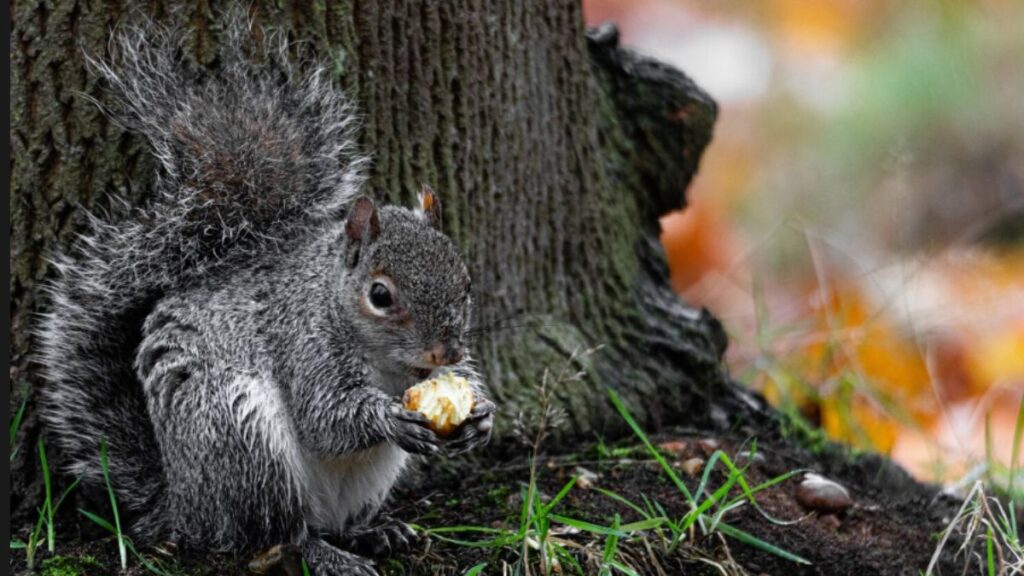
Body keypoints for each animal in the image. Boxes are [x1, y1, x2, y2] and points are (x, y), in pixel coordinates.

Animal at [37, 15, 495, 576]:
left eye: (466, 283)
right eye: (380, 295)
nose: (446, 353)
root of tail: (185, 506)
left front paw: (481, 416)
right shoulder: (304, 343)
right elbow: (325, 417)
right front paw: (389, 418)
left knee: (332, 522)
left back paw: (373, 531)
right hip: (242, 442)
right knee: (277, 534)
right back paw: (327, 554)